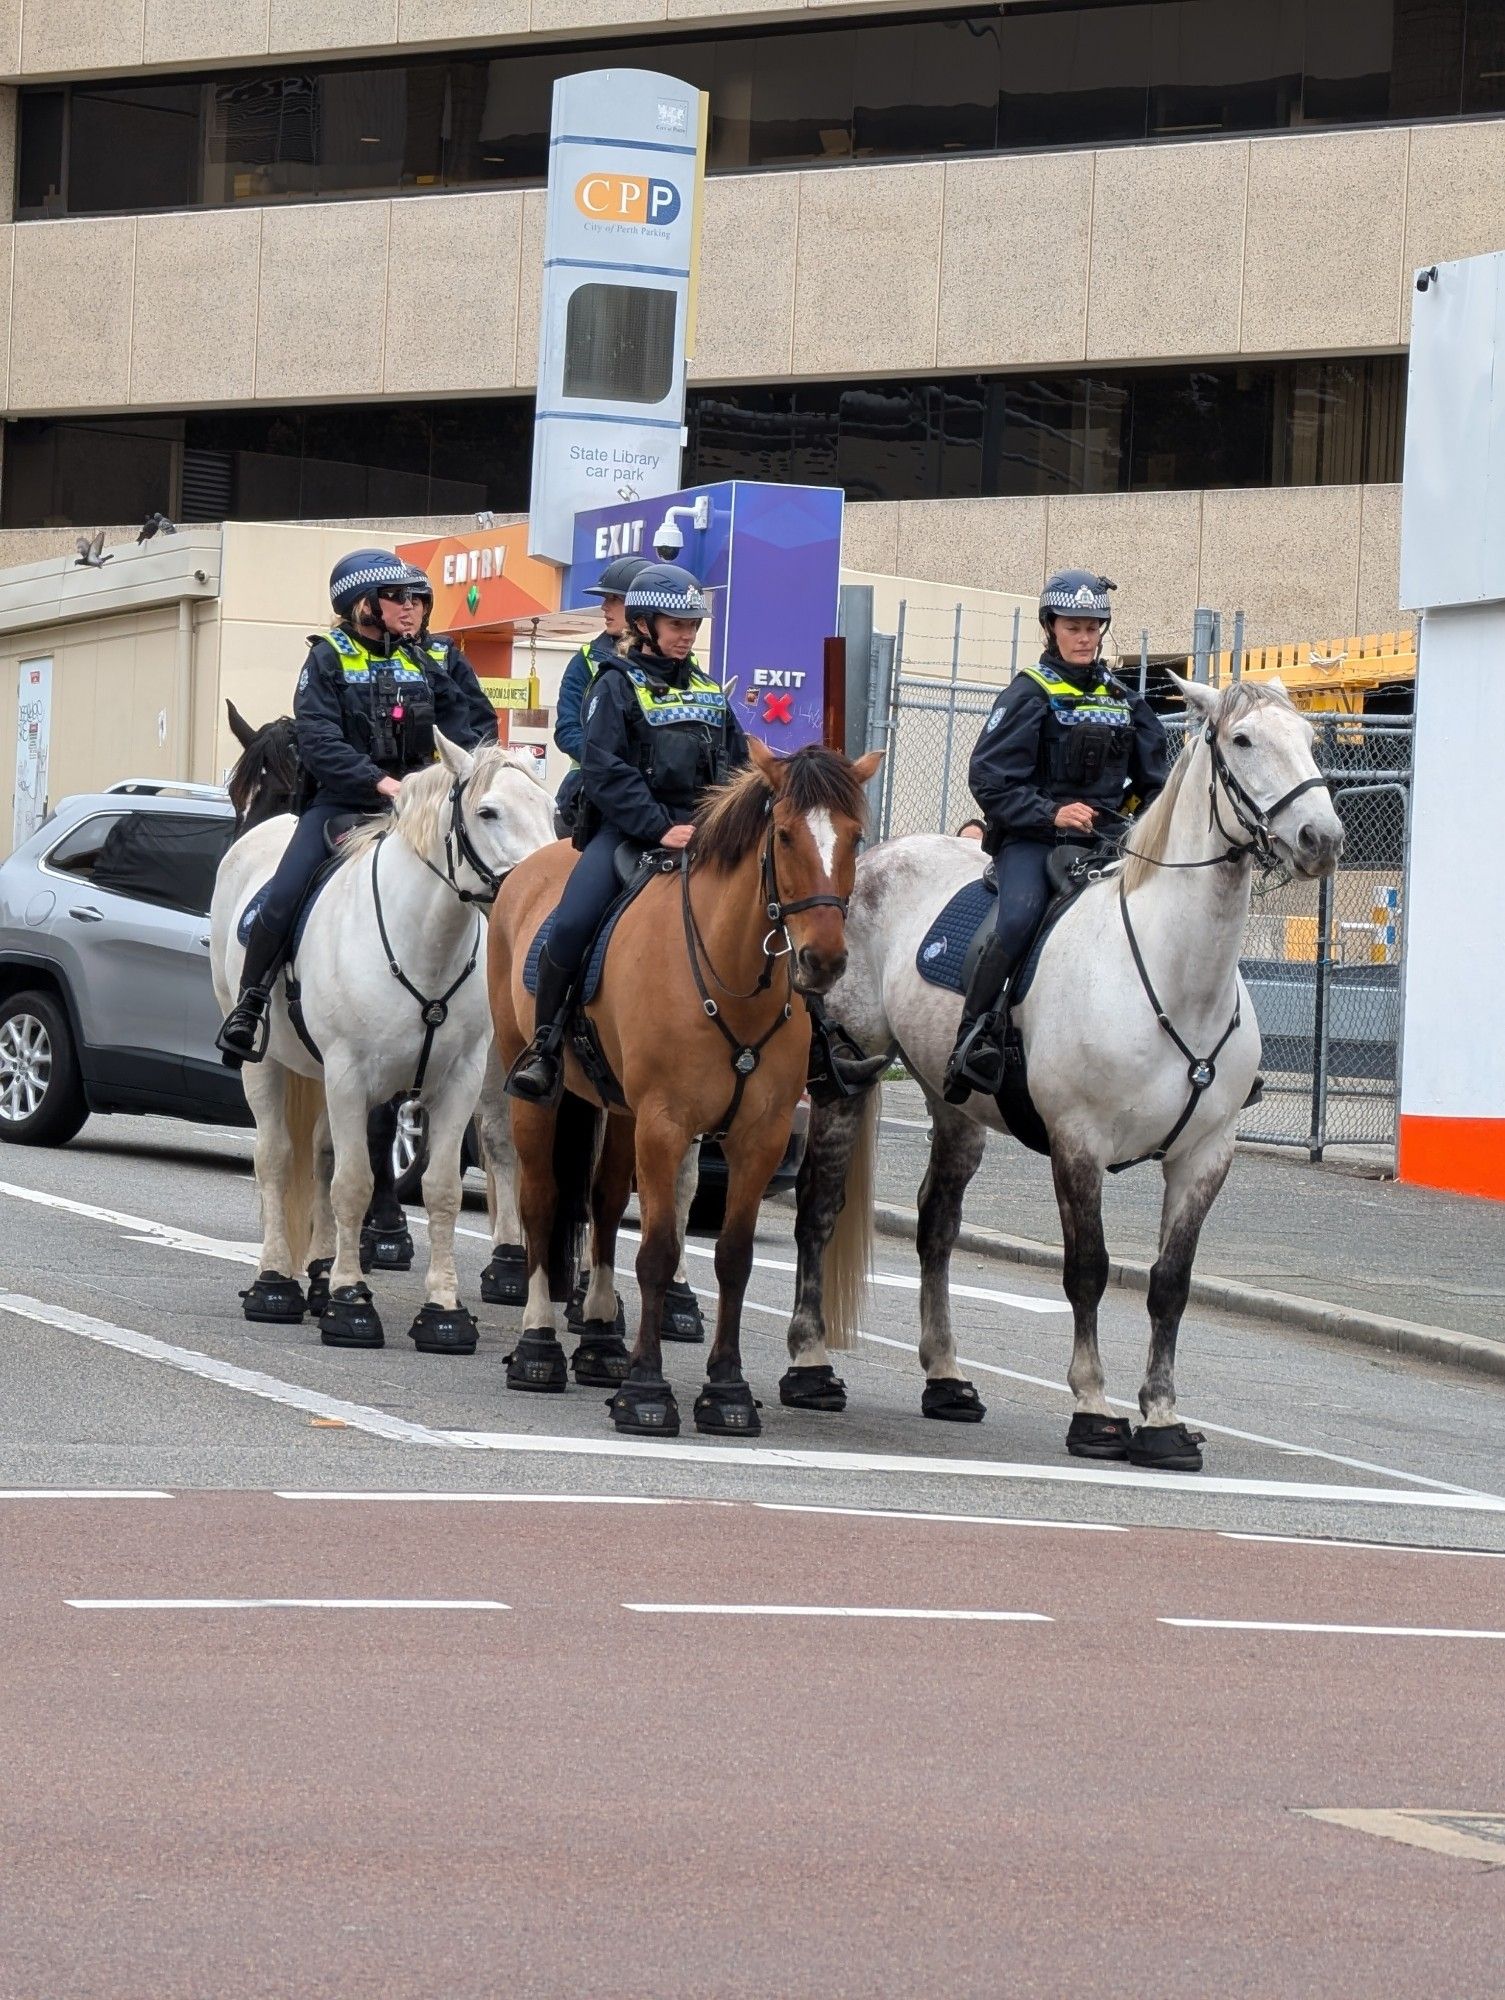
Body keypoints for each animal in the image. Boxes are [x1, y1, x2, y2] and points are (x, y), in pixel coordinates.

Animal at [212, 728, 560, 1352]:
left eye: (551, 811)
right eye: (488, 811)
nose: (541, 890)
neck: (424, 940)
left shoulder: (458, 1081)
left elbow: (441, 1189)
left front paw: (443, 1310)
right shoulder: (350, 1077)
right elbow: (354, 1183)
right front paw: (351, 1303)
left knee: (321, 1157)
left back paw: (320, 1272)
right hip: (266, 1064)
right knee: (276, 1157)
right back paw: (276, 1282)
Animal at [488, 736, 876, 1440]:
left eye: (855, 837)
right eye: (784, 835)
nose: (823, 961)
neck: (733, 979)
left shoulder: (759, 1137)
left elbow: (733, 1256)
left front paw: (726, 1390)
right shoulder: (666, 1125)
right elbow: (660, 1251)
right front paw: (647, 1389)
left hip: (618, 1109)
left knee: (604, 1203)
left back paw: (601, 1344)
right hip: (535, 1093)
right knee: (540, 1201)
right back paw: (539, 1347)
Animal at [780, 680, 1344, 1480]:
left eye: (1310, 739)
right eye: (1241, 741)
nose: (1319, 839)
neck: (1175, 978)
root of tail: (876, 854)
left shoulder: (1204, 1156)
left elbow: (1170, 1285)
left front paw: (1164, 1421)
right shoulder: (1080, 1144)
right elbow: (1088, 1271)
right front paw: (1094, 1409)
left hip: (954, 1106)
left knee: (935, 1227)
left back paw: (945, 1376)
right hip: (844, 1079)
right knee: (818, 1210)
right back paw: (809, 1363)